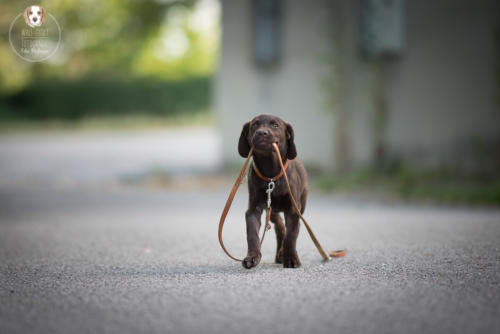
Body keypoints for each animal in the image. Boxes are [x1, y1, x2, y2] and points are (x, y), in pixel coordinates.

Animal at [239, 115, 308, 268]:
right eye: (255, 125)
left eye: (275, 125)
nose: (261, 133)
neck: (271, 174)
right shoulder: (253, 209)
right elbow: (252, 235)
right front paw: (252, 257)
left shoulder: (293, 209)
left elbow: (291, 236)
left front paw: (291, 258)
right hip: (271, 210)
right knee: (280, 227)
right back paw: (279, 254)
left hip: (301, 204)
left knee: (286, 229)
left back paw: (282, 253)